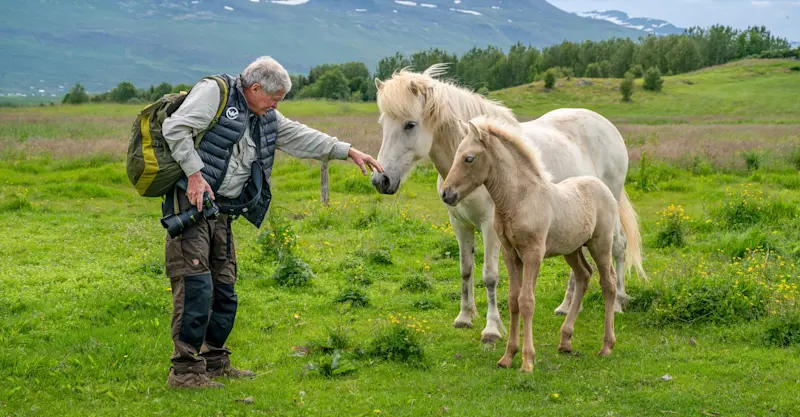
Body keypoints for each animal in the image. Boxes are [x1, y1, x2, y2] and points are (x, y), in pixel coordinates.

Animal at [370, 64, 645, 343]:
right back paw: (566, 306)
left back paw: (618, 302)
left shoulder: (491, 228)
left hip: (610, 204)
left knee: (618, 246)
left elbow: (490, 276)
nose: (381, 179)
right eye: (383, 124)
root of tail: (607, 125)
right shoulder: (460, 224)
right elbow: (466, 269)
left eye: (410, 125)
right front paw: (465, 317)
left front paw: (492, 329)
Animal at [440, 116, 618, 372]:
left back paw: (606, 346)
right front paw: (507, 357)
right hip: (572, 249)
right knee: (584, 275)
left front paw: (527, 361)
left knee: (608, 283)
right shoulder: (510, 253)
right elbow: (513, 300)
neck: (519, 199)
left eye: (469, 158)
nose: (446, 194)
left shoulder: (533, 253)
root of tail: (601, 185)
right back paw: (565, 340)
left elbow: (526, 301)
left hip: (600, 244)